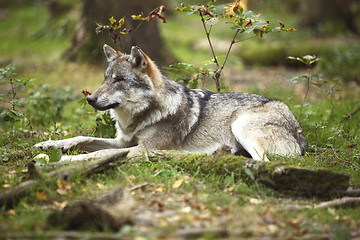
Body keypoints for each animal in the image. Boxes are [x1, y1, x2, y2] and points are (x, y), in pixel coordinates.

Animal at [34, 44, 306, 161]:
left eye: (119, 80)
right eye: (105, 78)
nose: (90, 99)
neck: (142, 116)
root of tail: (298, 125)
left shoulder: (139, 148)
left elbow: (101, 153)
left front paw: (58, 161)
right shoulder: (123, 141)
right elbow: (81, 138)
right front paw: (48, 145)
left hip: (240, 125)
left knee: (262, 161)